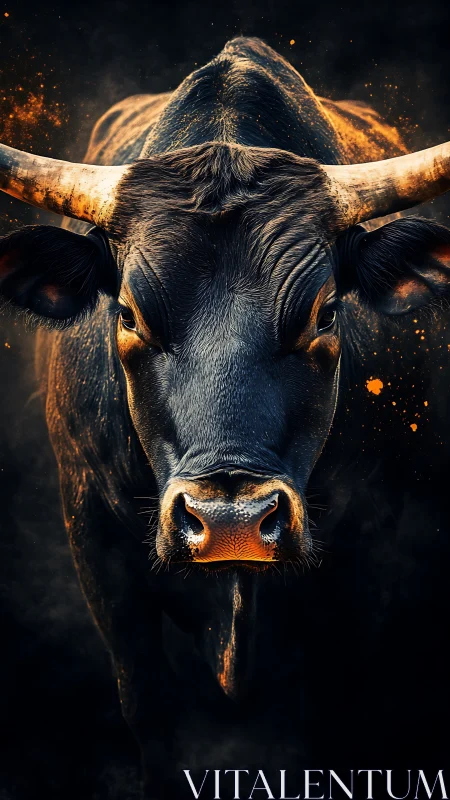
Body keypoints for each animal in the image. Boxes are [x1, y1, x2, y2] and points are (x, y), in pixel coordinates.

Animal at [1, 36, 450, 798]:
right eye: (128, 313)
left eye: (326, 312)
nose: (231, 521)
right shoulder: (94, 536)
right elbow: (149, 708)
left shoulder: (373, 556)